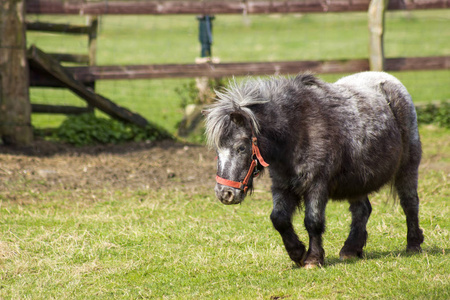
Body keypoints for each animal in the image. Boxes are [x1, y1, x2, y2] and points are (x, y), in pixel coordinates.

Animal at [206, 72, 424, 268]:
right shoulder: (282, 185)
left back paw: (413, 245)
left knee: (409, 202)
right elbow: (279, 219)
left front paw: (312, 259)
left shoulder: (317, 184)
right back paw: (350, 250)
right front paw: (297, 253)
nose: (224, 194)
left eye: (241, 148)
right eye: (217, 149)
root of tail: (391, 82)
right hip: (357, 181)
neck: (297, 130)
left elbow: (313, 221)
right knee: (362, 210)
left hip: (407, 167)